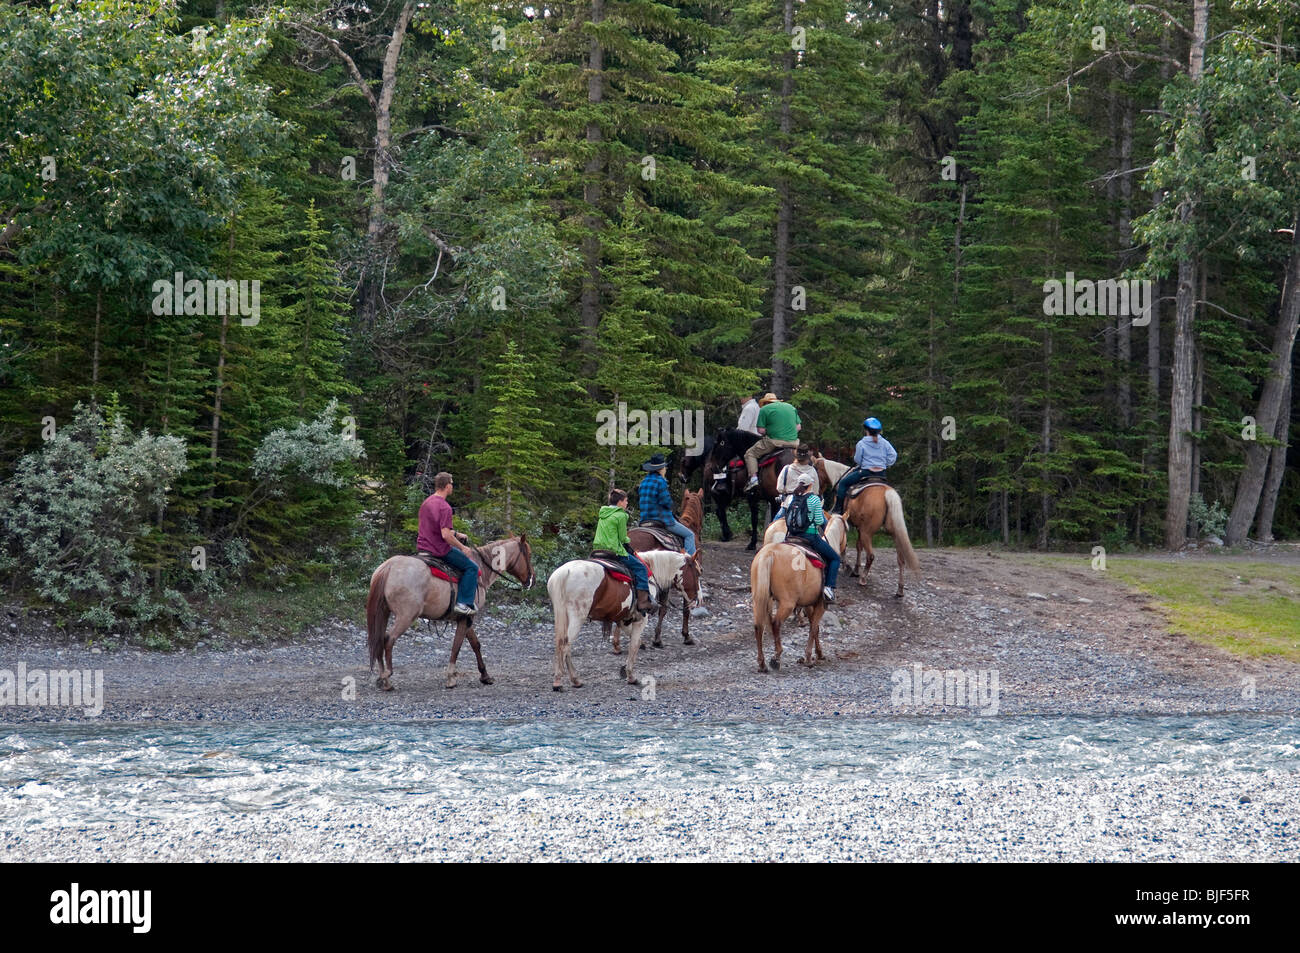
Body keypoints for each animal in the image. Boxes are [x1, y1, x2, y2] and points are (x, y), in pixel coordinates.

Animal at [366, 530, 533, 686]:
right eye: (529, 554)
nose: (532, 580)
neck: (481, 570)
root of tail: (388, 567)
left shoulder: (466, 617)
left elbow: (475, 644)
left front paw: (485, 676)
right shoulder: (467, 618)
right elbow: (457, 646)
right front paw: (451, 677)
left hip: (384, 612)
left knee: (379, 640)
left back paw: (382, 678)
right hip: (406, 616)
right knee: (389, 639)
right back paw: (387, 677)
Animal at [546, 543, 702, 691]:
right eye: (698, 572)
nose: (698, 599)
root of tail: (564, 573)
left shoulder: (623, 619)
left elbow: (635, 640)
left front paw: (624, 666)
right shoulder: (641, 618)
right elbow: (634, 644)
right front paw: (631, 675)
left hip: (562, 613)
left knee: (562, 643)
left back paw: (572, 680)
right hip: (578, 617)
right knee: (566, 644)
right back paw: (560, 681)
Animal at [748, 535, 826, 670]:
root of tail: (770, 552)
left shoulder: (808, 605)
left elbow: (814, 627)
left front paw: (818, 653)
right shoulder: (820, 604)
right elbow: (814, 628)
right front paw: (809, 658)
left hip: (759, 600)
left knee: (759, 626)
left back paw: (762, 663)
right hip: (787, 603)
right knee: (776, 623)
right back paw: (776, 657)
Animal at [816, 452, 920, 595]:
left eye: (815, 469)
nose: (818, 492)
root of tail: (888, 492)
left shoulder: (851, 524)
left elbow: (849, 545)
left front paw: (849, 567)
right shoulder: (860, 528)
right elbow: (859, 546)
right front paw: (855, 569)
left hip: (868, 533)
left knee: (871, 556)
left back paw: (863, 579)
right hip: (894, 533)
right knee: (901, 559)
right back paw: (900, 589)